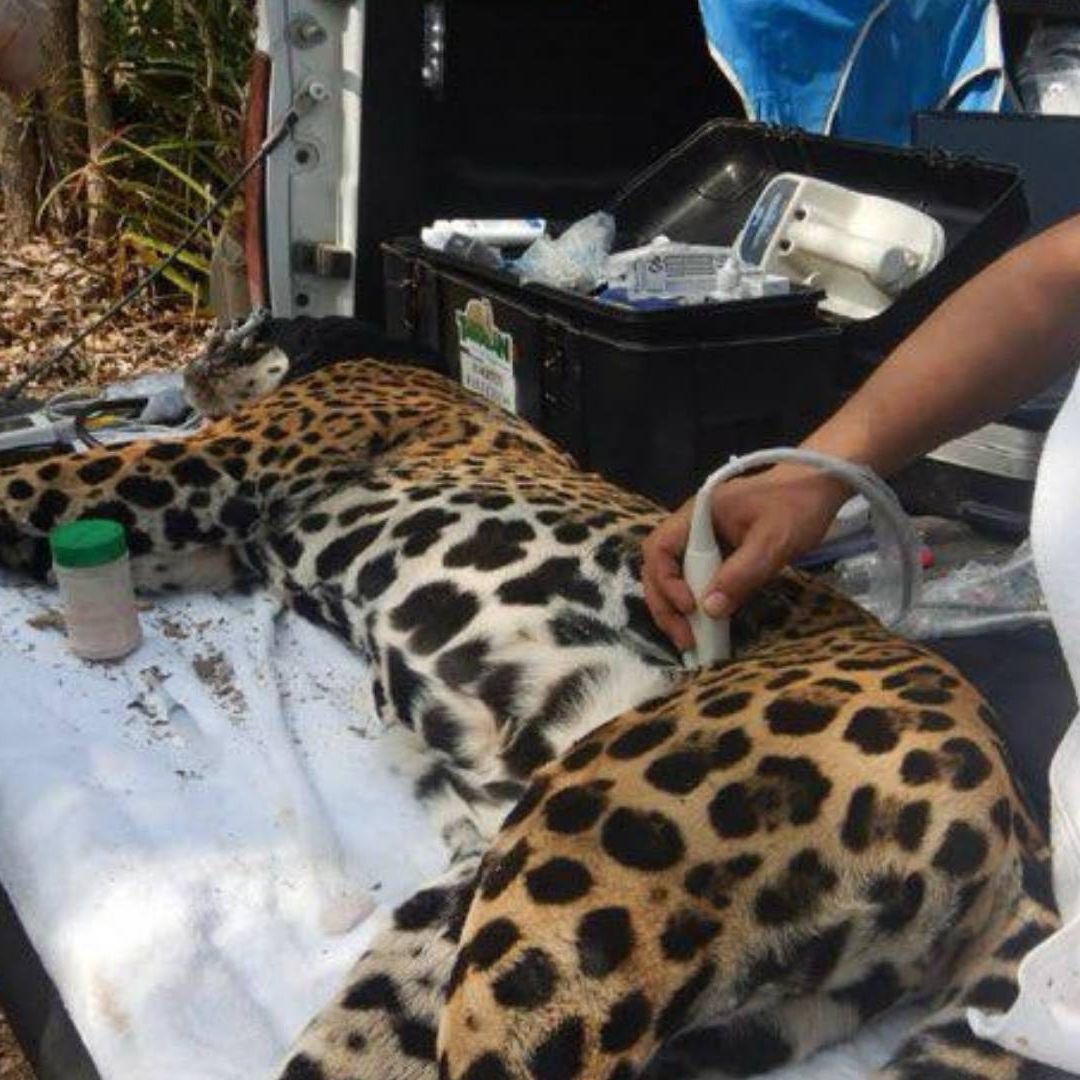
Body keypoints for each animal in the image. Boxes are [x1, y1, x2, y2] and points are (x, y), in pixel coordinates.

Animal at [0, 351, 1059, 1080]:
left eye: (231, 340)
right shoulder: (211, 544)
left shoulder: (208, 470)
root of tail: (1021, 822)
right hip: (490, 943)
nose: (192, 369)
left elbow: (37, 483)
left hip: (580, 878)